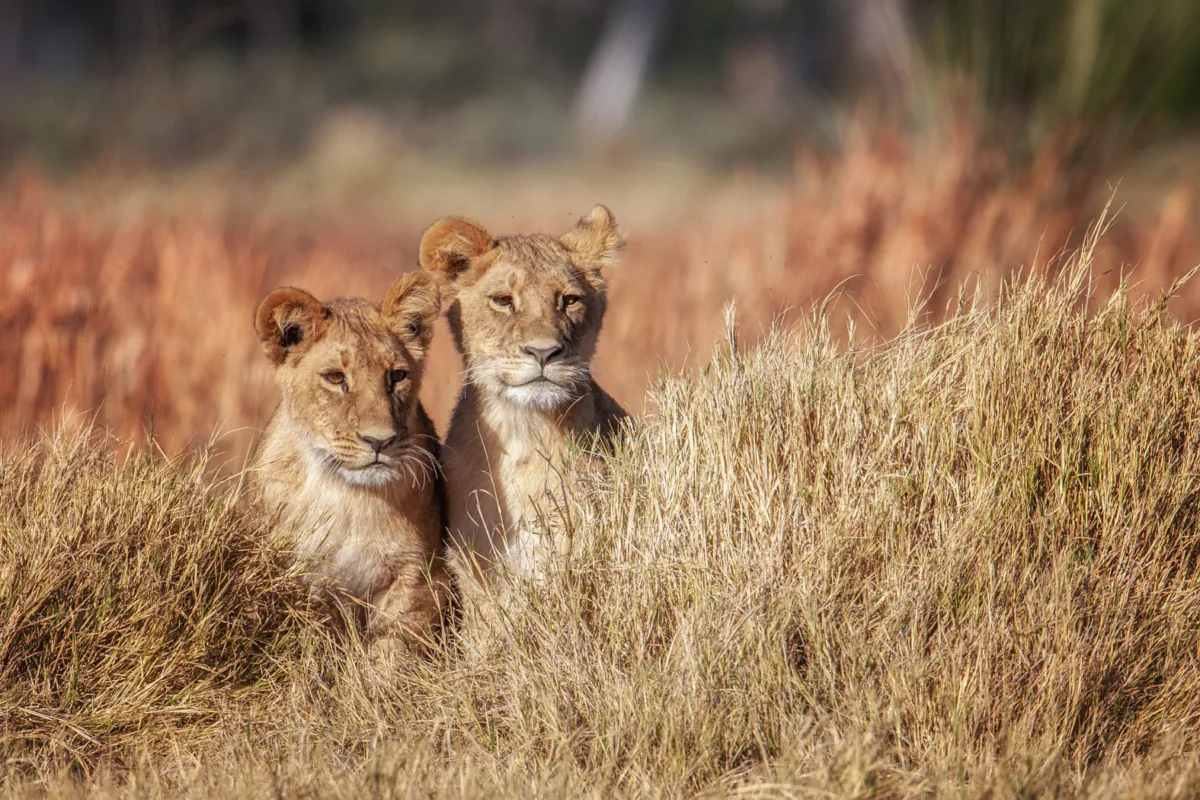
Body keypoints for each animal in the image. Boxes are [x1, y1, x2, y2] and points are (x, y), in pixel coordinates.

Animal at [248, 271, 452, 657]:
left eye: (397, 376)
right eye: (335, 378)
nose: (380, 441)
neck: (348, 497)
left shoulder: (419, 574)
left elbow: (394, 649)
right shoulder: (296, 576)